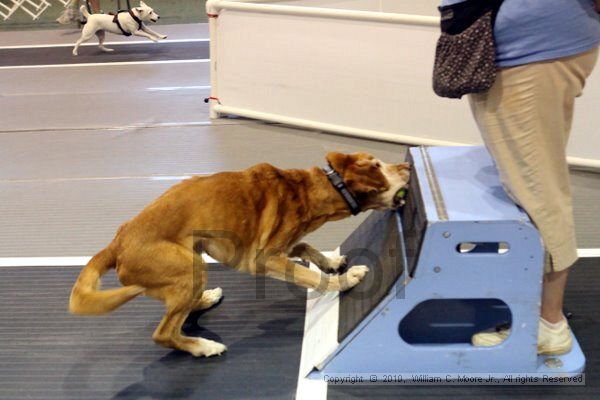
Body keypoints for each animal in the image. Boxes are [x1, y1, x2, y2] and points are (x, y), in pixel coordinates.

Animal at [68, 152, 410, 356]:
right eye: (379, 164)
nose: (408, 166)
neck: (313, 189)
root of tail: (117, 241)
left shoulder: (280, 247)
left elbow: (306, 248)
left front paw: (333, 261)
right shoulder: (263, 258)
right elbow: (313, 277)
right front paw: (346, 279)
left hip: (191, 266)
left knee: (178, 310)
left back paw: (204, 300)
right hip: (190, 266)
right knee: (163, 333)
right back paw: (202, 346)